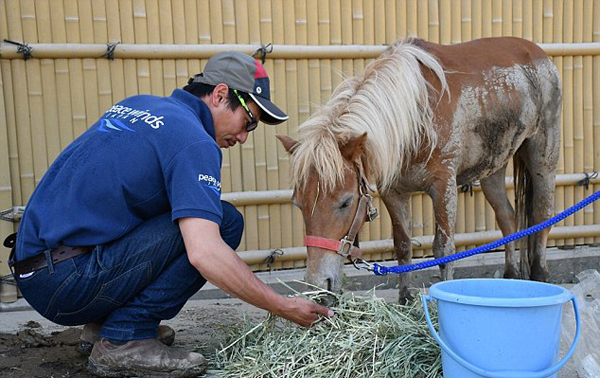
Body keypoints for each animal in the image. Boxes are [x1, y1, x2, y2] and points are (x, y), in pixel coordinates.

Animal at [278, 36, 560, 302]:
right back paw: (511, 276)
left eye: (346, 202)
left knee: (542, 216)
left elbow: (443, 249)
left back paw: (541, 274)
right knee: (507, 218)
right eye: (299, 204)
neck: (414, 118)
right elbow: (403, 245)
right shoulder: (393, 193)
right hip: (493, 167)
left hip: (543, 157)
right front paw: (405, 298)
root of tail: (538, 53)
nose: (318, 288)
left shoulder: (443, 187)